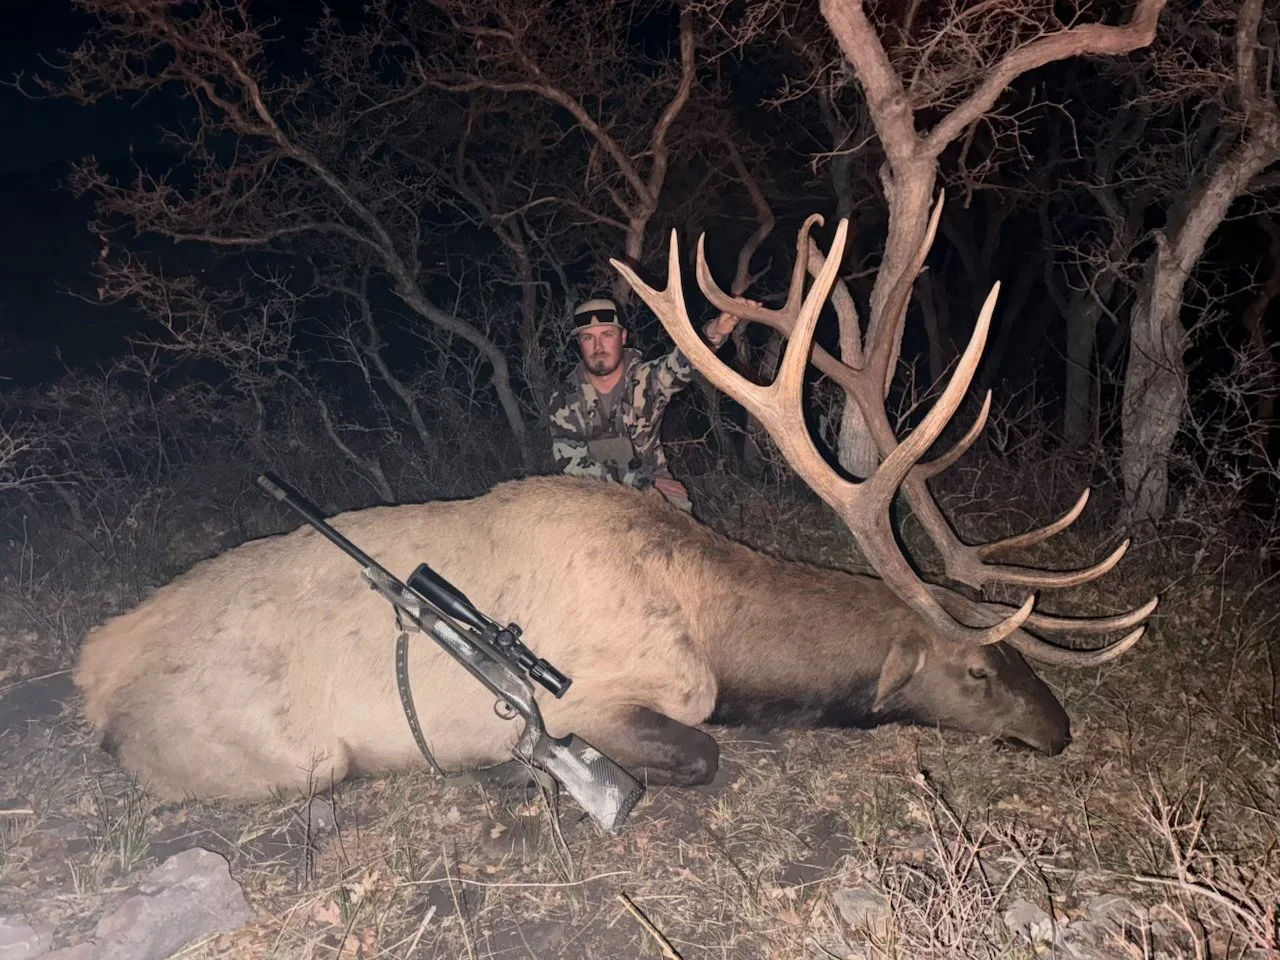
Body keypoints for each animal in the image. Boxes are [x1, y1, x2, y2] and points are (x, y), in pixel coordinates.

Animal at [73, 195, 1157, 806]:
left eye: (1017, 659)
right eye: (976, 673)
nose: (1059, 730)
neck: (713, 623)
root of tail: (93, 666)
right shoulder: (603, 694)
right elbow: (698, 754)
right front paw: (526, 772)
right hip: (265, 754)